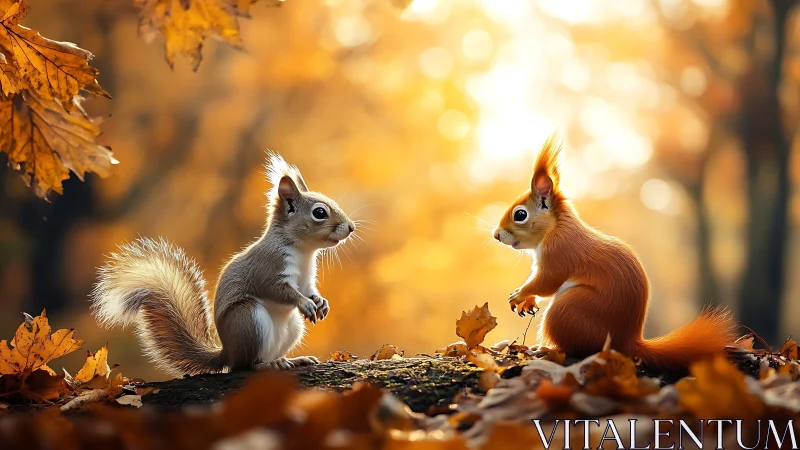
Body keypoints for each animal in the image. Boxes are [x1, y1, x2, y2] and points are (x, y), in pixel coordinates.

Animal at [90, 152, 356, 376]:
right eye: (319, 212)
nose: (351, 227)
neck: (303, 251)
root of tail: (227, 352)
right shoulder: (268, 266)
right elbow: (278, 290)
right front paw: (304, 303)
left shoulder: (307, 278)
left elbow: (310, 290)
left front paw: (320, 302)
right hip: (248, 320)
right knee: (245, 365)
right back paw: (268, 365)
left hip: (292, 327)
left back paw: (294, 360)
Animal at [492, 136, 737, 371]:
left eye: (520, 214)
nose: (496, 235)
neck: (555, 228)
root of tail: (627, 343)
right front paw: (527, 301)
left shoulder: (559, 253)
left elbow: (547, 282)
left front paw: (519, 295)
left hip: (569, 308)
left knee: (575, 348)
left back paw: (543, 349)